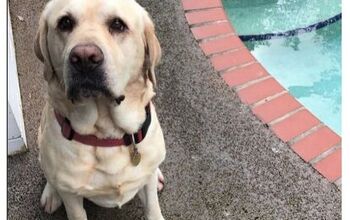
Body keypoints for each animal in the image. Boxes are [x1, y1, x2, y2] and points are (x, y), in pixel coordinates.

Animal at [34, 0, 166, 220]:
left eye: (118, 24)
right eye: (65, 23)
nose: (85, 57)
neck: (106, 132)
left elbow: (153, 209)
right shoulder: (72, 198)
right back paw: (51, 194)